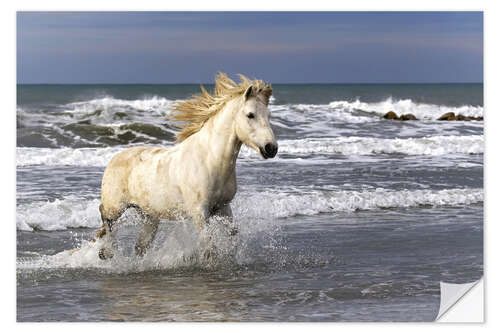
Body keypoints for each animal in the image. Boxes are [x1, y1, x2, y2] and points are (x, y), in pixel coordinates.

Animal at [94, 74, 278, 258]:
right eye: (250, 115)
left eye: (268, 115)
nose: (271, 148)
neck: (210, 160)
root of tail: (114, 159)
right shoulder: (199, 213)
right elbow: (209, 247)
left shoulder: (223, 207)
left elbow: (233, 237)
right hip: (116, 207)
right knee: (105, 217)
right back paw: (106, 252)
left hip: (149, 215)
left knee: (141, 246)